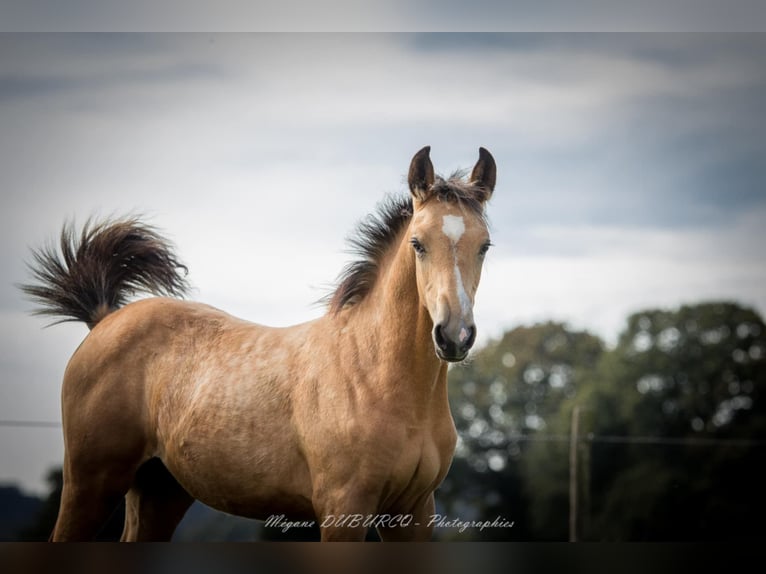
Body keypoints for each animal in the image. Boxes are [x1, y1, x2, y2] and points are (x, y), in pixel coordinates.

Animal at [20, 146, 496, 541]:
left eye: (485, 246)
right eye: (418, 243)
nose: (454, 335)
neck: (374, 375)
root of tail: (104, 320)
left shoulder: (414, 512)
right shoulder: (344, 510)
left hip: (159, 491)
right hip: (90, 483)